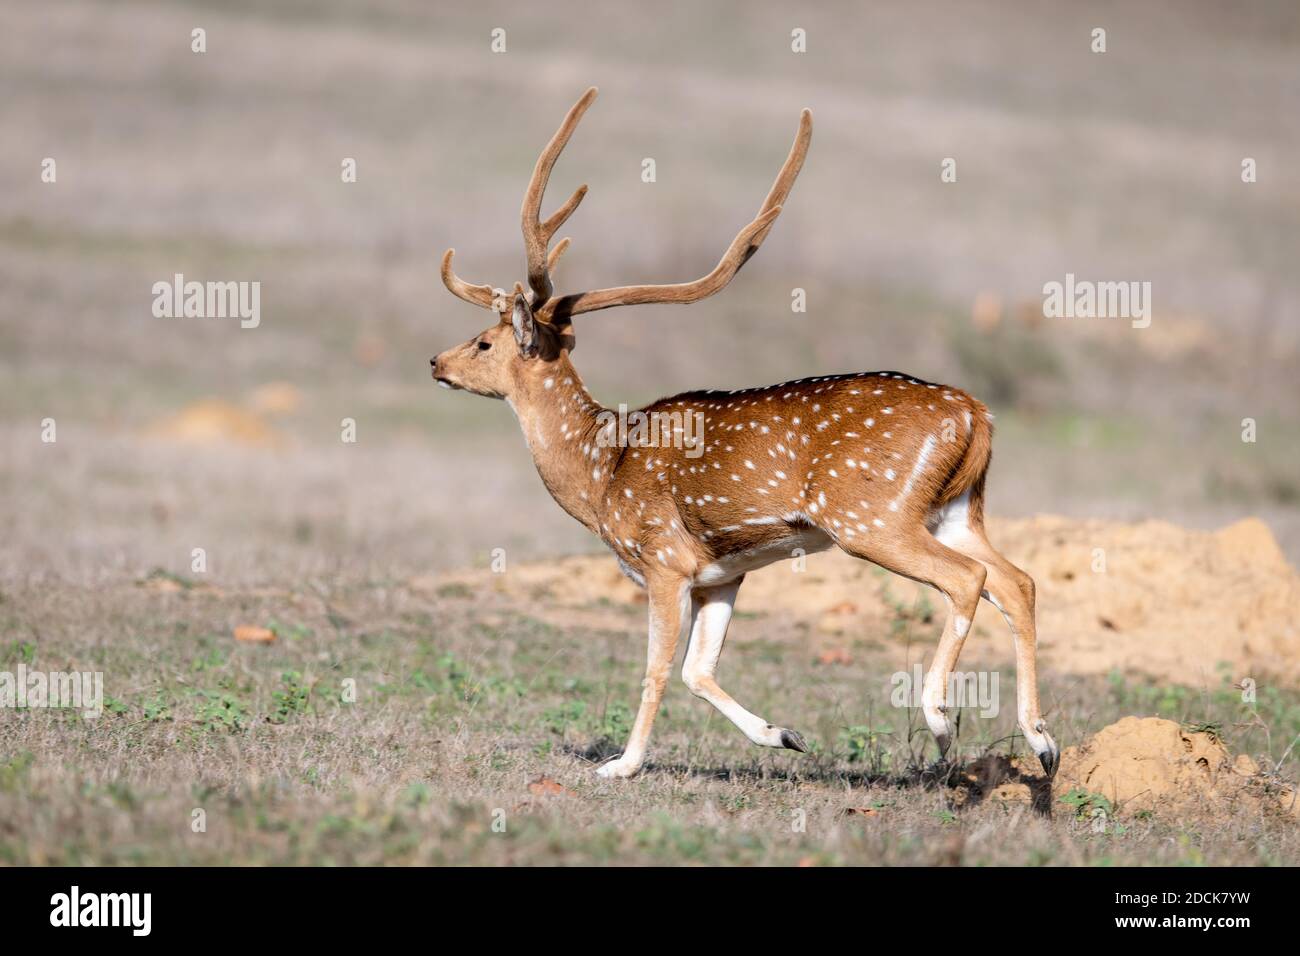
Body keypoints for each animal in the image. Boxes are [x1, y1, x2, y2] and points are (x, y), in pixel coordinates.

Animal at [431, 87, 1058, 780]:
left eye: (483, 342)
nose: (435, 362)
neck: (600, 476)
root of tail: (976, 413)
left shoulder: (664, 559)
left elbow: (658, 668)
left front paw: (622, 765)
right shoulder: (721, 573)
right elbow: (698, 671)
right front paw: (784, 734)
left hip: (871, 516)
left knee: (967, 580)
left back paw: (942, 723)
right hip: (955, 509)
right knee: (1018, 580)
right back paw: (1043, 743)